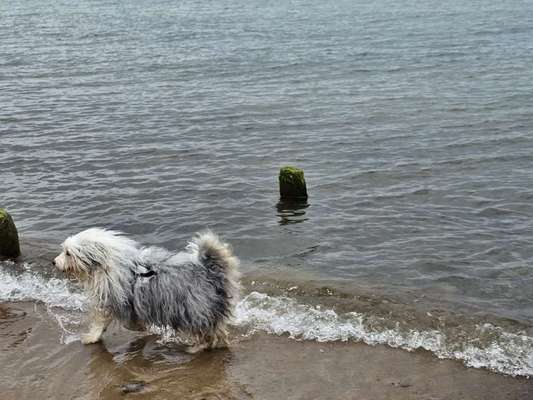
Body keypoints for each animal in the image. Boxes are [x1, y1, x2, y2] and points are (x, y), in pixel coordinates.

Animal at [53, 228, 240, 354]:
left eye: (68, 253)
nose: (54, 262)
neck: (106, 264)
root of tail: (210, 271)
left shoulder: (113, 300)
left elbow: (102, 321)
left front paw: (91, 337)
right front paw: (141, 328)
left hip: (194, 309)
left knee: (208, 331)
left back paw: (197, 347)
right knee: (217, 331)